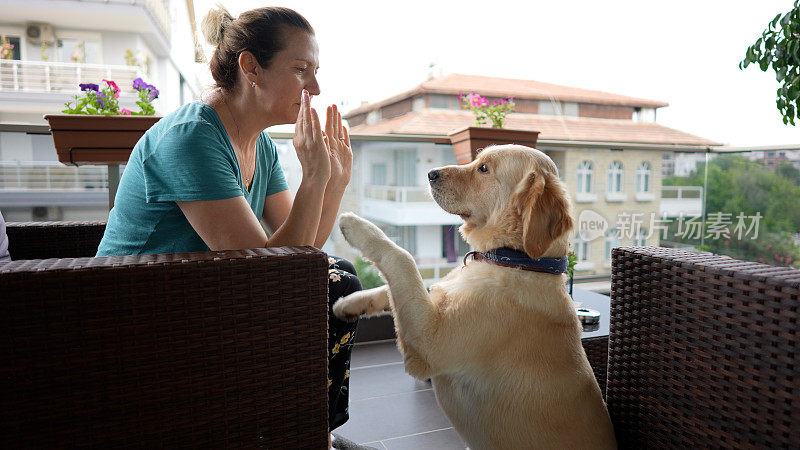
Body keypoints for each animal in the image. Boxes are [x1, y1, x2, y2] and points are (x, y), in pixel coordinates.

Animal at [334, 146, 616, 448]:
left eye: (483, 168)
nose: (430, 174)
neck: (512, 261)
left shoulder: (429, 342)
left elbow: (402, 258)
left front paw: (358, 226)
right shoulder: (435, 300)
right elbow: (400, 285)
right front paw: (349, 303)